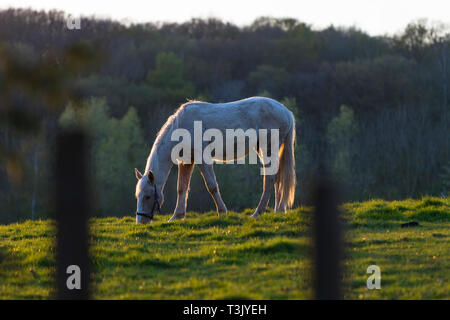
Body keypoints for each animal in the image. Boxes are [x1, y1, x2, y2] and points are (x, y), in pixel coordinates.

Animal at [134, 96, 296, 224]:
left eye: (148, 196)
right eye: (138, 196)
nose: (141, 221)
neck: (182, 127)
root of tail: (286, 112)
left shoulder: (202, 158)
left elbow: (211, 185)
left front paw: (222, 211)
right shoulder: (186, 161)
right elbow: (181, 188)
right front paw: (177, 216)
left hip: (267, 148)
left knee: (270, 179)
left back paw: (258, 213)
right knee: (277, 178)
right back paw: (278, 210)